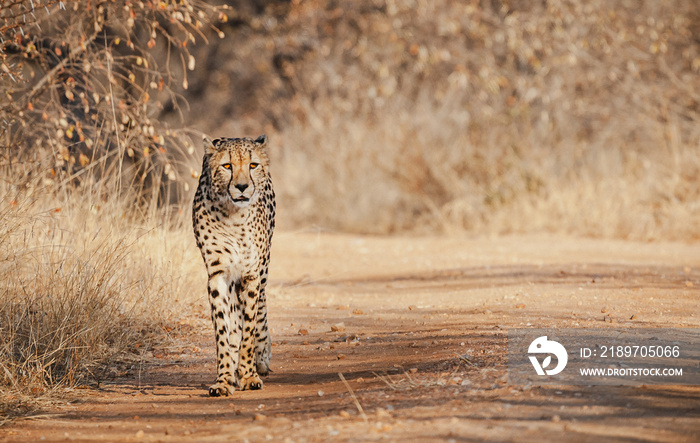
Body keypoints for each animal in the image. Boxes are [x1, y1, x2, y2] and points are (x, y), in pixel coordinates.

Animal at [194, 134, 278, 398]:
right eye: (227, 166)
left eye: (252, 165)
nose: (241, 187)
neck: (234, 216)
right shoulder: (218, 274)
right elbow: (223, 329)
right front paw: (223, 378)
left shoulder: (252, 273)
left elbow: (249, 328)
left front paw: (249, 374)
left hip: (263, 268)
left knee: (261, 308)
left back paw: (260, 358)